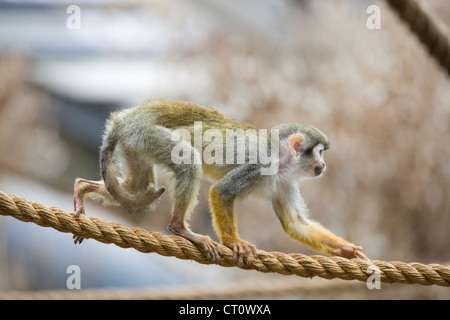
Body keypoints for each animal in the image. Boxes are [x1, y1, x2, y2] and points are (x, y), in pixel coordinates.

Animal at [72, 99, 366, 264]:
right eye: (319, 153)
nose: (323, 165)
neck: (281, 161)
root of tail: (126, 118)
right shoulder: (259, 165)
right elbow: (222, 191)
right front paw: (233, 242)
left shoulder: (286, 182)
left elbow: (295, 223)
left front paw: (345, 250)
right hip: (147, 135)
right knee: (187, 161)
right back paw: (180, 228)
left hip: (134, 144)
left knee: (137, 187)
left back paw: (82, 188)